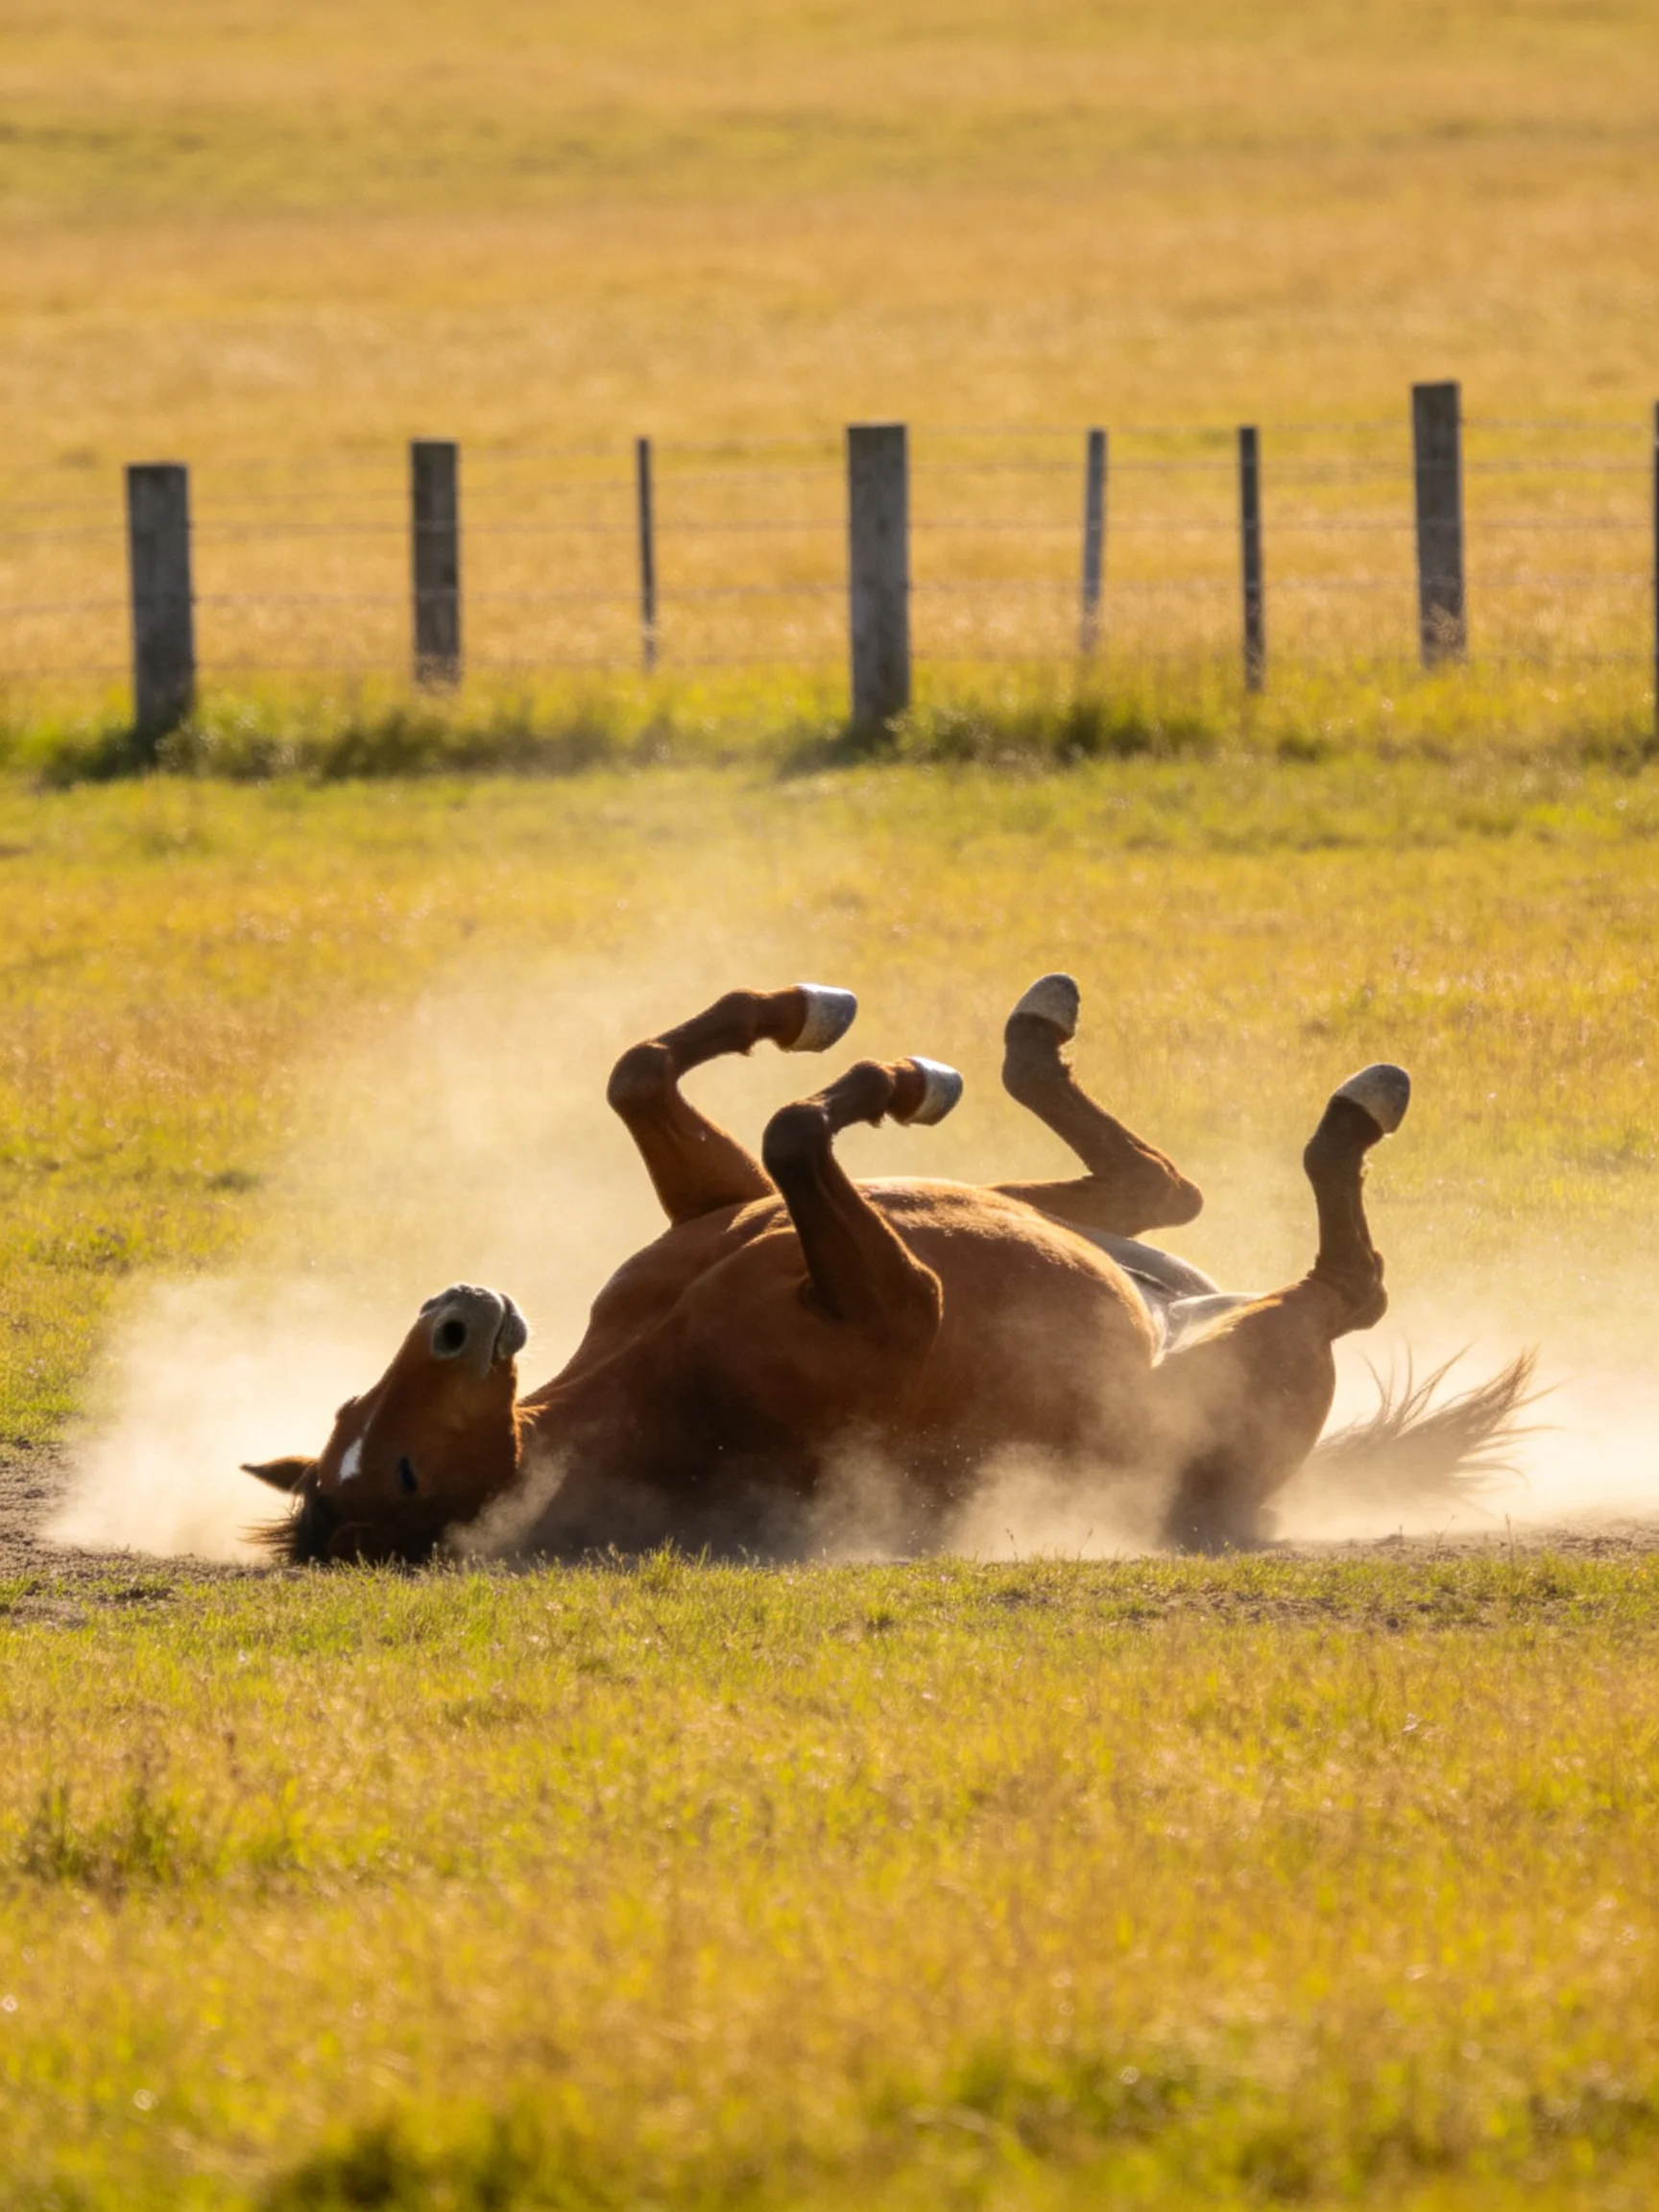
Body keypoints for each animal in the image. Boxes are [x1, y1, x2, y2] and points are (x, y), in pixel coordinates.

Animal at [244, 974, 1531, 1564]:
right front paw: (880, 1079)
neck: (652, 1377)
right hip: (1260, 1355)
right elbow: (791, 1131)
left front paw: (819, 1025)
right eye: (403, 1475)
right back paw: (1356, 1110)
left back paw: (1016, 1040)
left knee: (1162, 1187)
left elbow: (646, 1074)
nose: (459, 1315)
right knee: (1344, 1288)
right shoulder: (905, 1302)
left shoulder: (714, 1208)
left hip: (1094, 1234)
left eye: (361, 1414)